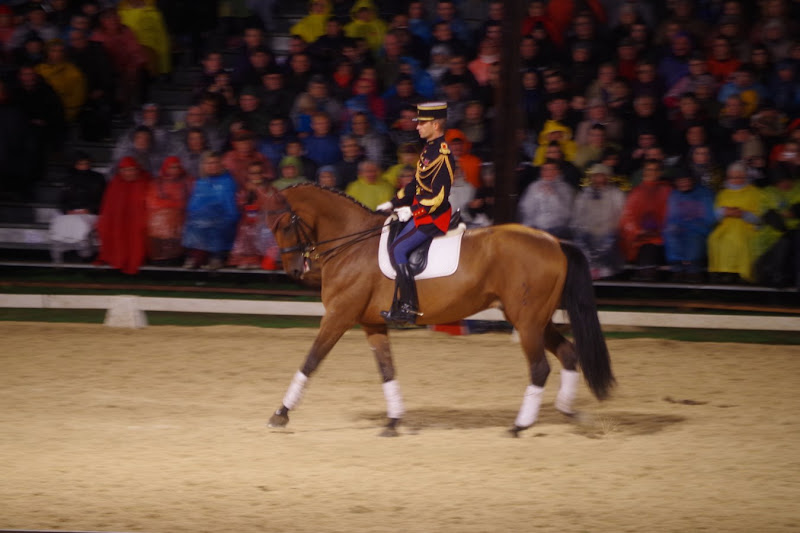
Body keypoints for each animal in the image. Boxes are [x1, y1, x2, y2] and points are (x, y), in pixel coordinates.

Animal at [262, 184, 612, 436]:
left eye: (284, 224)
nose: (294, 271)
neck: (353, 244)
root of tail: (554, 242)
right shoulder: (371, 324)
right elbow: (387, 370)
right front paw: (393, 421)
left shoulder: (339, 316)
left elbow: (311, 361)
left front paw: (280, 414)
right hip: (535, 320)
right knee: (568, 353)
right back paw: (568, 411)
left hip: (527, 322)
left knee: (540, 368)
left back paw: (519, 425)